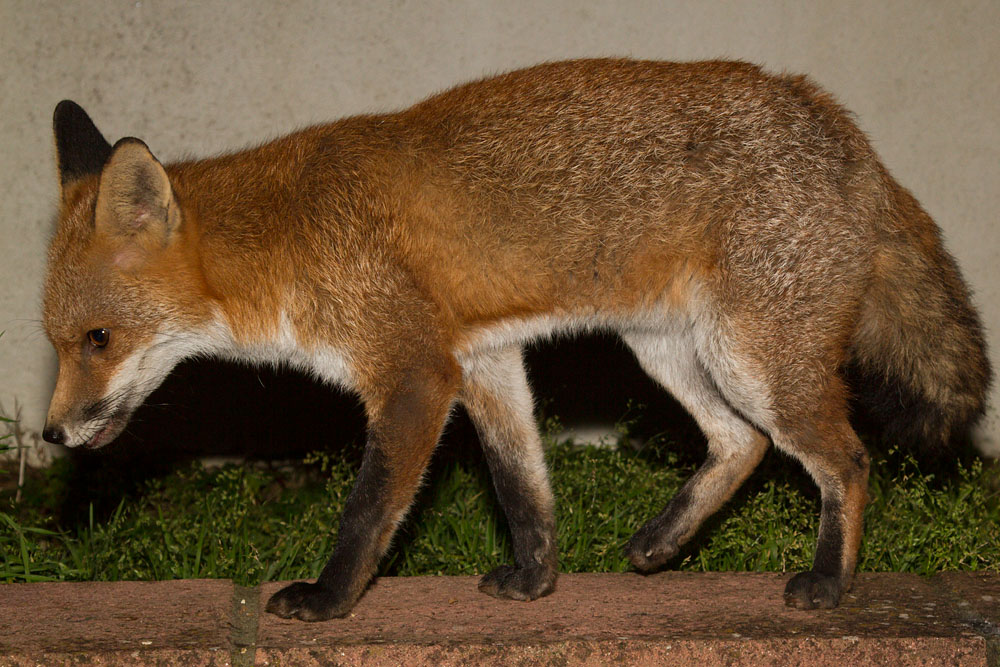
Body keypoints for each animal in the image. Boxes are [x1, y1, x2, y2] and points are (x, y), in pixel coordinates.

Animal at [41, 59, 989, 621]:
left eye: (100, 337)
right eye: (57, 344)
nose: (51, 432)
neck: (286, 240)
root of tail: (841, 126)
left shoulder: (415, 370)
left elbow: (369, 510)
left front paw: (330, 597)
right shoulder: (484, 359)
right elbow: (521, 485)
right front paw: (536, 580)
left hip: (754, 358)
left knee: (847, 458)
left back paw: (830, 581)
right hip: (674, 352)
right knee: (741, 442)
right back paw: (661, 541)